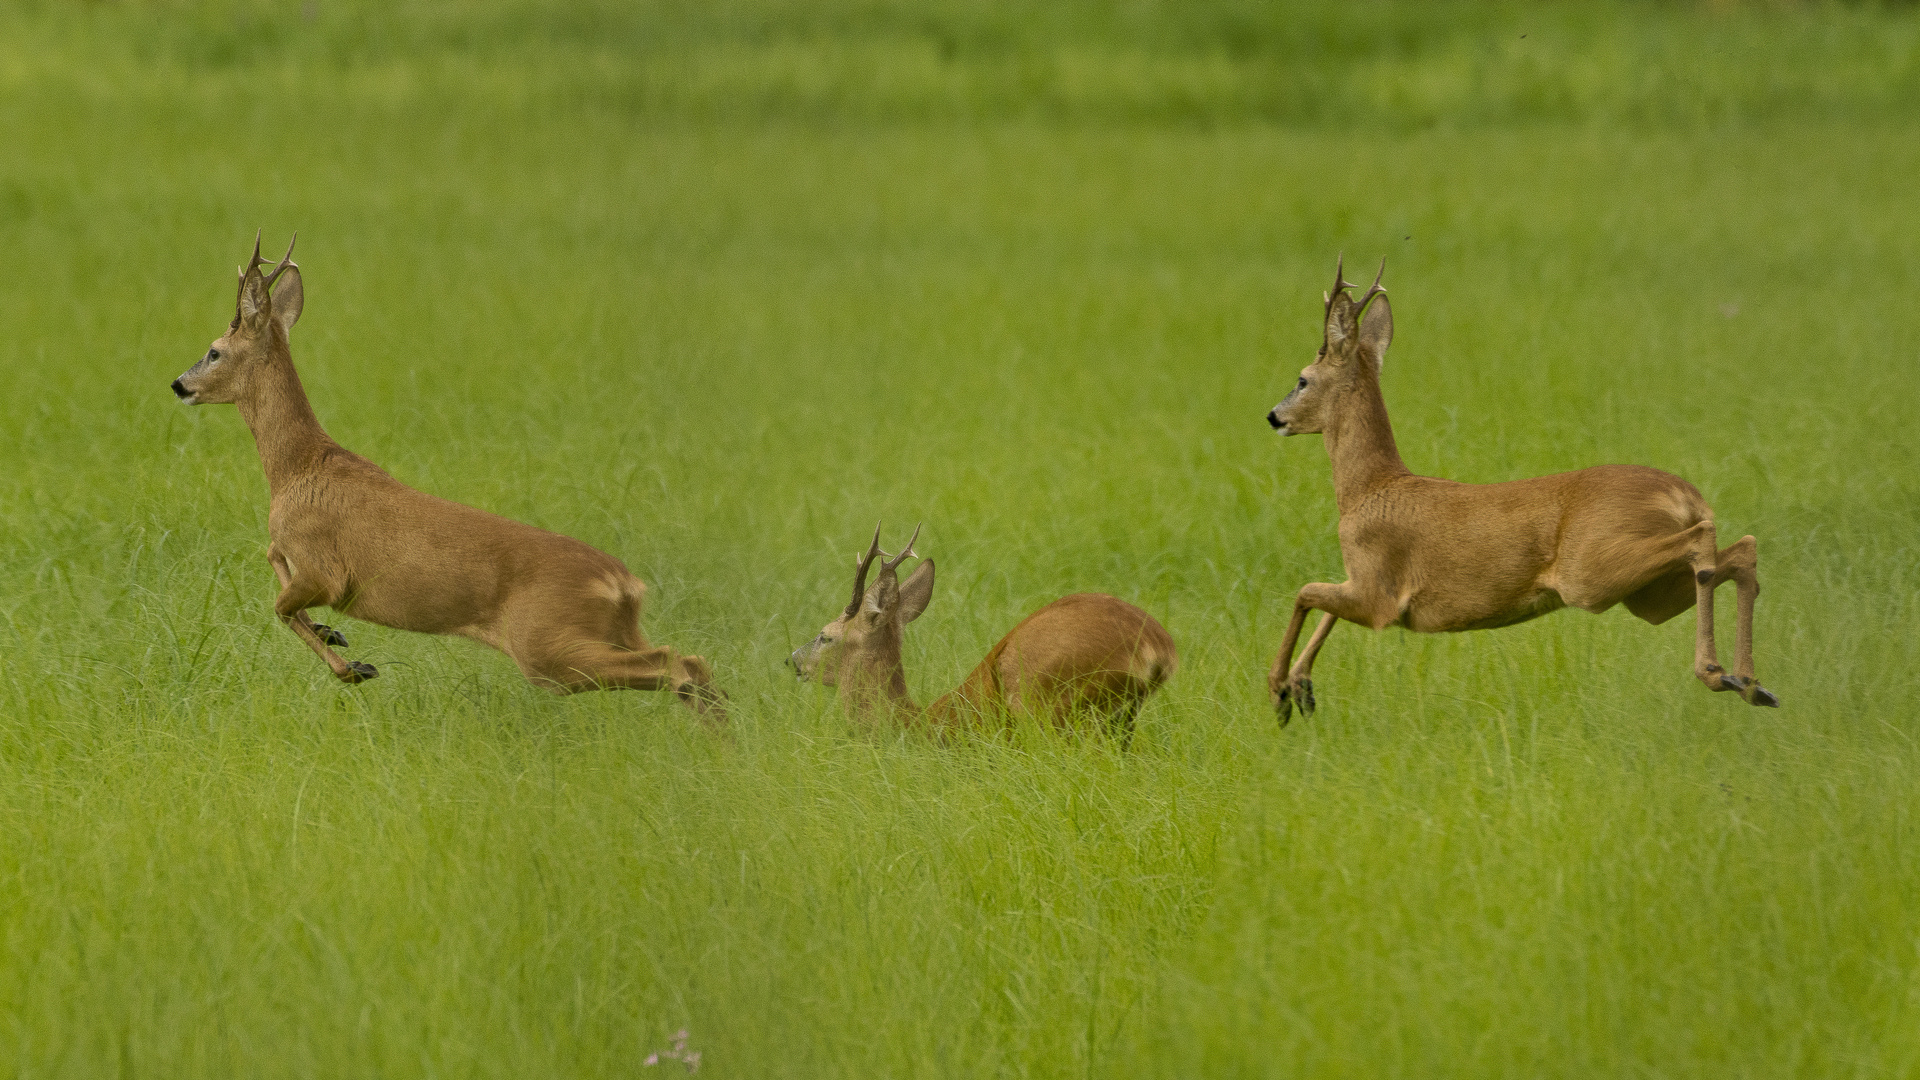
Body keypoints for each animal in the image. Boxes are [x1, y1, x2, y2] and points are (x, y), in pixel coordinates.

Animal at [168, 232, 725, 718]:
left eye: (214, 351)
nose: (178, 384)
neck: (296, 469)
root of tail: (625, 584)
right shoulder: (299, 558)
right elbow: (273, 565)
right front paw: (336, 635)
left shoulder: (325, 568)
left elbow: (280, 605)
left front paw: (355, 667)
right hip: (610, 633)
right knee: (693, 664)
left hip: (546, 647)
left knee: (677, 663)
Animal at [787, 522, 1175, 737]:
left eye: (826, 635)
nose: (792, 660)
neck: (910, 724)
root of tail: (1157, 645)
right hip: (1122, 716)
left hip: (1046, 702)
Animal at [1259, 255, 1781, 718]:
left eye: (1302, 380)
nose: (1273, 416)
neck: (1367, 488)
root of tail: (1687, 495)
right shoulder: (1366, 586)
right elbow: (1322, 600)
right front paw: (1300, 688)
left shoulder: (1380, 596)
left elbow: (1306, 591)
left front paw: (1279, 688)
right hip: (1645, 595)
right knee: (1740, 550)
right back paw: (1751, 684)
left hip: (1592, 571)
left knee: (1707, 544)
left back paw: (1717, 672)